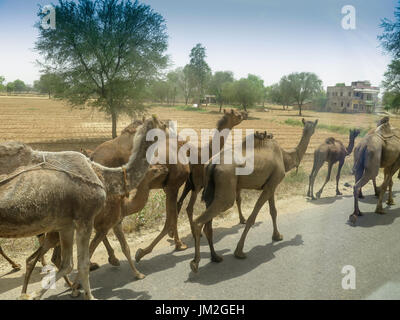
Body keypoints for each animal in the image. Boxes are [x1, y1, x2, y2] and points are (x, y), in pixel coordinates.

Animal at [0, 117, 164, 300]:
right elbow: (84, 261)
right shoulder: (87, 220)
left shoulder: (68, 225)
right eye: (164, 125)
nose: (164, 166)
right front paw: (87, 294)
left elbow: (70, 264)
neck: (104, 178)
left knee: (42, 259)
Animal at [189, 119, 318, 274]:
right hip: (226, 190)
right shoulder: (271, 184)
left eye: (311, 125)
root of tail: (212, 165)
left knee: (208, 225)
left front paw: (277, 236)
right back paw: (195, 263)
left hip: (212, 192)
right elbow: (253, 217)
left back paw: (215, 257)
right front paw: (239, 252)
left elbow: (273, 211)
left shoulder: (271, 185)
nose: (300, 239)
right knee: (200, 221)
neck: (285, 157)